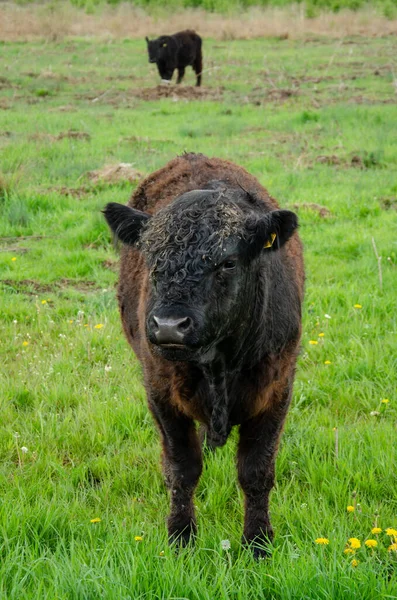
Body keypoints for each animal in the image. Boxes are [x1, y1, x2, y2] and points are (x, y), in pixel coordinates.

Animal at [103, 152, 304, 556]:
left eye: (227, 262)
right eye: (151, 257)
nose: (168, 325)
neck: (219, 365)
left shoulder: (277, 390)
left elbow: (256, 471)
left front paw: (258, 543)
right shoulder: (160, 393)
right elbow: (182, 468)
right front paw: (181, 537)